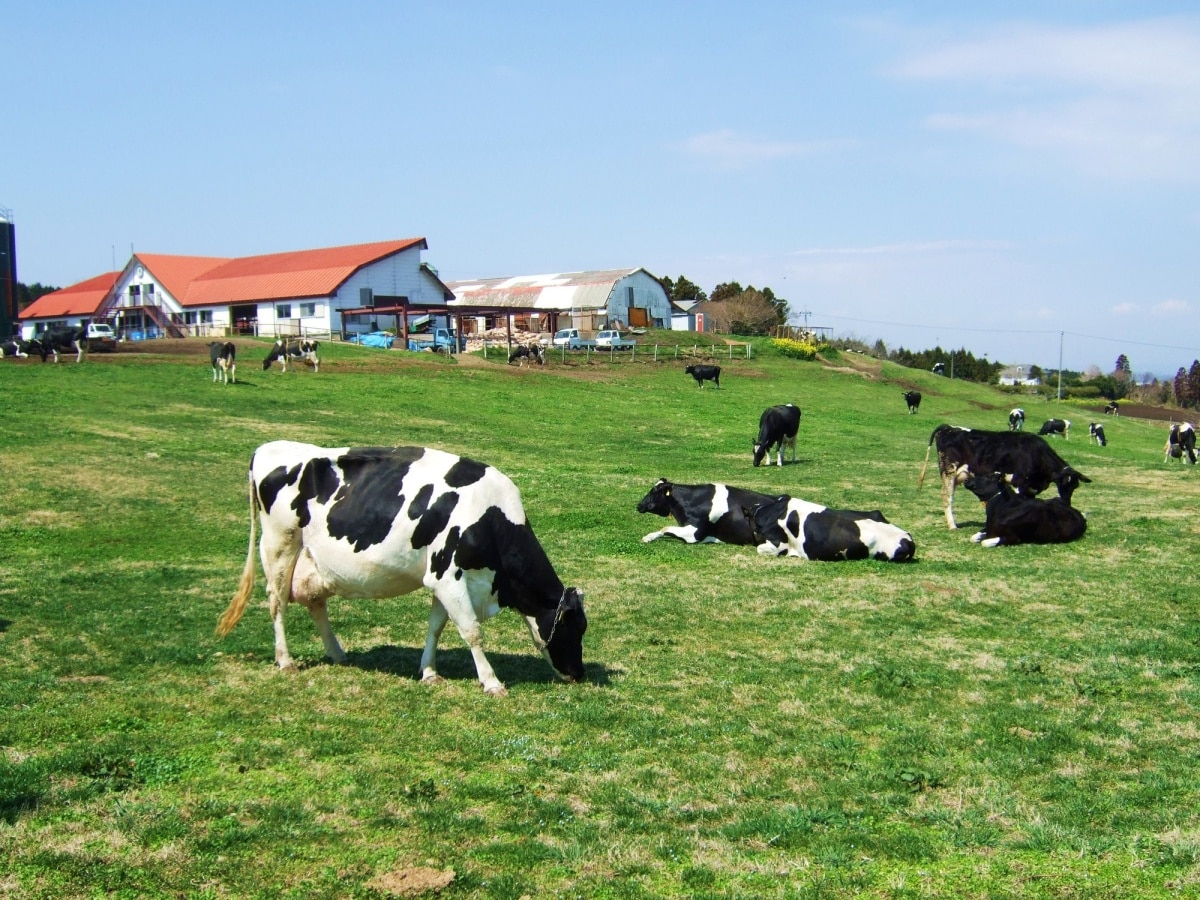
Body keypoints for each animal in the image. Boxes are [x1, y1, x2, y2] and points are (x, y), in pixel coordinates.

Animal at [219, 444, 590, 696]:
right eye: (574, 628)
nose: (579, 673)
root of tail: (270, 448)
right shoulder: (450, 576)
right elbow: (471, 631)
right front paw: (491, 682)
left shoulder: (441, 578)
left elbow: (436, 628)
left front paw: (429, 672)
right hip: (279, 545)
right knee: (277, 601)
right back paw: (285, 660)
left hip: (312, 560)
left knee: (315, 602)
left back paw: (337, 653)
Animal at [633, 482, 772, 547]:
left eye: (654, 491)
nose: (639, 505)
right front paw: (649, 537)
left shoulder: (695, 533)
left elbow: (665, 528)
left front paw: (648, 537)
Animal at [912, 427, 1094, 532]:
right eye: (1064, 484)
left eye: (1075, 486)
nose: (1067, 504)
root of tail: (948, 428)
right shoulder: (1019, 483)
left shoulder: (1030, 488)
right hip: (949, 470)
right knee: (946, 496)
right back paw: (952, 526)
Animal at [955, 472, 1089, 549]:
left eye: (988, 477)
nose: (966, 480)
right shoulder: (988, 529)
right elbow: (974, 537)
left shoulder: (1012, 537)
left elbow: (985, 543)